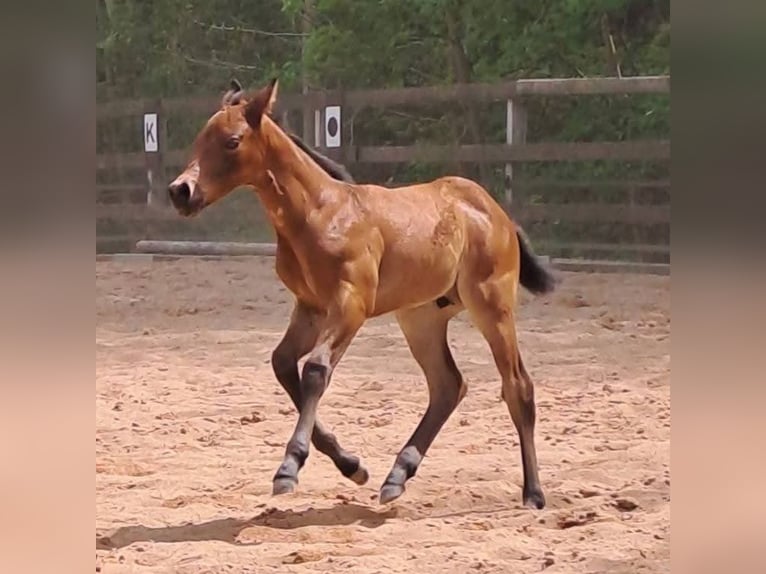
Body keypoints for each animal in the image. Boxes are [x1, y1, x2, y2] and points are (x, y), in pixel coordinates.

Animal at [167, 78, 557, 509]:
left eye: (232, 142)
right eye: (200, 139)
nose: (180, 191)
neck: (321, 213)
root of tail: (495, 211)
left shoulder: (350, 303)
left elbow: (316, 369)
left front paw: (289, 467)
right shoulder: (311, 308)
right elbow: (284, 364)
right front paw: (351, 465)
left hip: (492, 305)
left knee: (517, 386)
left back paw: (533, 493)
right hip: (421, 317)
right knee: (448, 385)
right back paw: (398, 475)